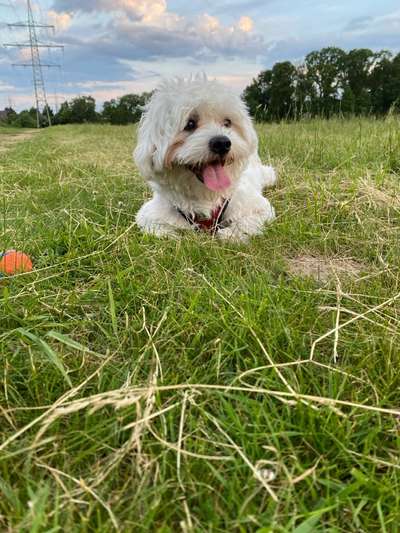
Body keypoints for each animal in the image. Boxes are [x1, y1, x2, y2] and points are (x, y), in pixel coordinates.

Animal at [133, 75, 276, 241]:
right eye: (190, 123)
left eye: (227, 122)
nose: (222, 143)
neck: (207, 197)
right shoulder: (149, 214)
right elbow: (158, 229)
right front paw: (176, 235)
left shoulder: (259, 207)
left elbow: (246, 222)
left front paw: (230, 234)